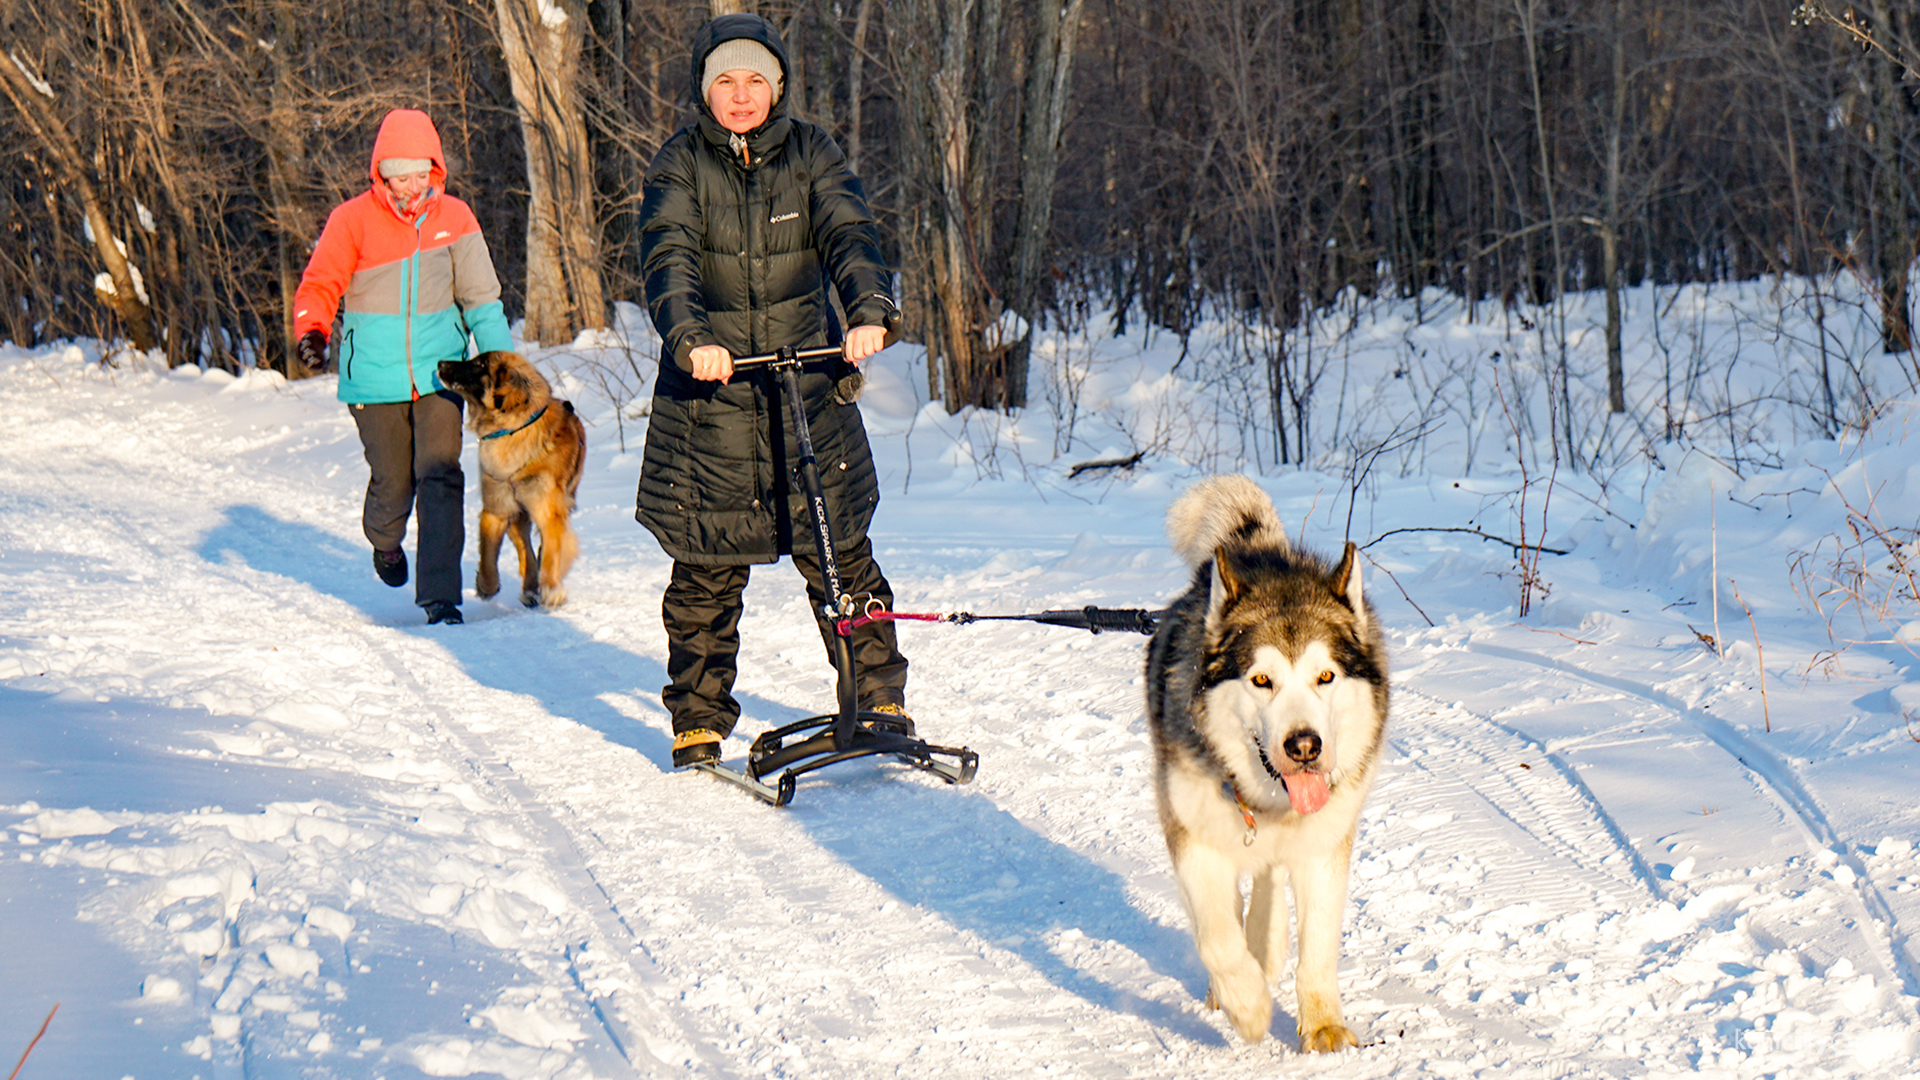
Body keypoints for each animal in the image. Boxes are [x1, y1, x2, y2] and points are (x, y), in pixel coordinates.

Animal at [435, 351, 583, 607]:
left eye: (479, 365)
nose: (440, 362)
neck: (514, 429)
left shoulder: (549, 510)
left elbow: (551, 553)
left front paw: (552, 589)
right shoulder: (498, 506)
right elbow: (488, 553)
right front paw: (486, 586)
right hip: (517, 517)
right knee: (526, 551)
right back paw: (529, 589)